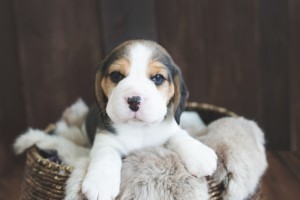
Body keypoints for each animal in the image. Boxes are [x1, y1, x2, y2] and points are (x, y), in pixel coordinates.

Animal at [76, 39, 216, 199]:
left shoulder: (170, 130)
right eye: (116, 75)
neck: (140, 128)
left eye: (158, 78)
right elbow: (106, 154)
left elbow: (179, 136)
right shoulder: (105, 139)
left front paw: (199, 154)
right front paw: (100, 182)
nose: (134, 100)